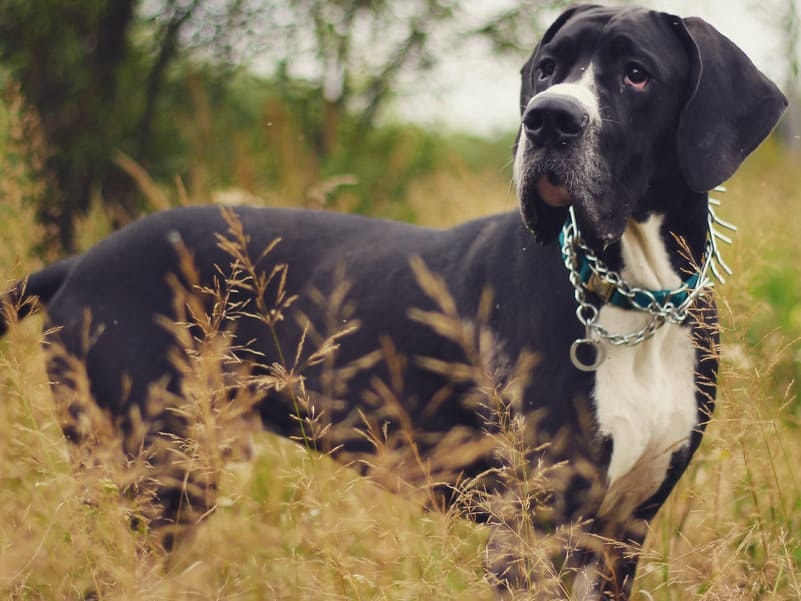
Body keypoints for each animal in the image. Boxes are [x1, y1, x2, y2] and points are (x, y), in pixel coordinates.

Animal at [0, 5, 788, 600]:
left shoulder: (619, 530)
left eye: (636, 74)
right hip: (149, 469)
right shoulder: (530, 527)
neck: (635, 295)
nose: (547, 119)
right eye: (547, 68)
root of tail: (83, 261)